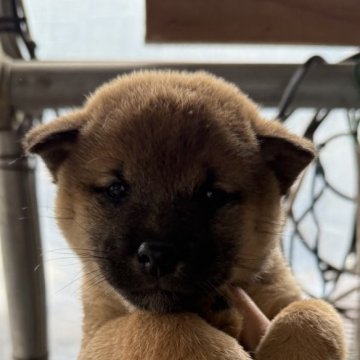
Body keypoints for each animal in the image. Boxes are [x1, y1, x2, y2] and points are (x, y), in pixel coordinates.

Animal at [24, 71, 346, 358]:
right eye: (116, 189)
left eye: (212, 195)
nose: (157, 255)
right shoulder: (98, 331)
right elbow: (160, 325)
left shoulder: (282, 293)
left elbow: (314, 311)